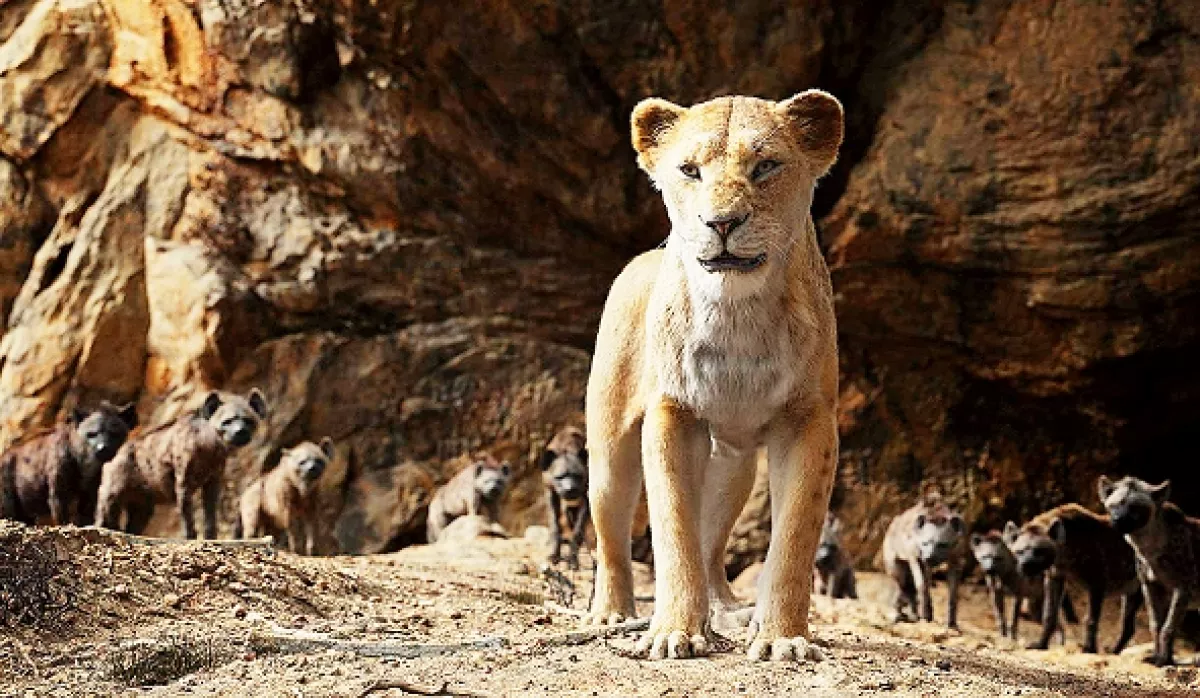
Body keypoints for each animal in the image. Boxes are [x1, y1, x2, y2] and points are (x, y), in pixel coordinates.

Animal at [584, 91, 843, 662]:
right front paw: (675, 632)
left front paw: (782, 638)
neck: (737, 310)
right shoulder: (674, 414)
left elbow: (794, 537)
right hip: (610, 450)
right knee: (612, 534)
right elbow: (673, 528)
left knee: (713, 541)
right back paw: (612, 613)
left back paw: (725, 610)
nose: (722, 222)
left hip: (736, 463)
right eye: (689, 170)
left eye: (765, 166)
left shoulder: (809, 419)